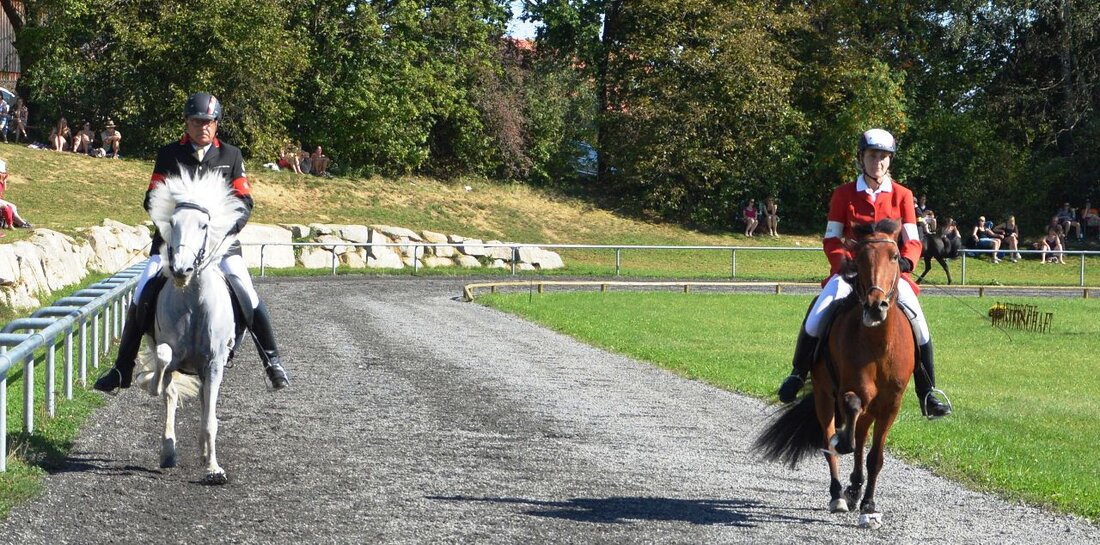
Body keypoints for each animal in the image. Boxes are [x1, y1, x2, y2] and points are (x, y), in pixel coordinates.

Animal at [133, 168, 246, 485]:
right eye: (172, 223)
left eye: (204, 225)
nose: (181, 269)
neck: (193, 300)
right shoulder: (169, 352)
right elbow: (163, 361)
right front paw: (153, 385)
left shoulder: (215, 363)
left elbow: (209, 418)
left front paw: (214, 468)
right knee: (171, 396)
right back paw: (168, 451)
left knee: (206, 404)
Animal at [754, 219, 916, 529]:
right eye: (860, 257)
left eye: (894, 256)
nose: (875, 306)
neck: (878, 342)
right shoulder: (848, 389)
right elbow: (849, 415)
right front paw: (841, 443)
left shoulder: (891, 404)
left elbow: (875, 457)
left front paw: (869, 505)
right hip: (823, 395)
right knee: (831, 436)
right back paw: (839, 494)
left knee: (862, 439)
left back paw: (855, 490)